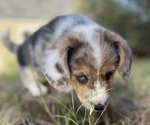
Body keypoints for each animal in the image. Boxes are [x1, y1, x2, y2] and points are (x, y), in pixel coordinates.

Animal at [2, 14, 131, 111]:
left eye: (109, 74)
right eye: (81, 77)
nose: (99, 107)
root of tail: (20, 46)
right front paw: (66, 87)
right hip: (26, 61)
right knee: (28, 77)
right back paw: (38, 89)